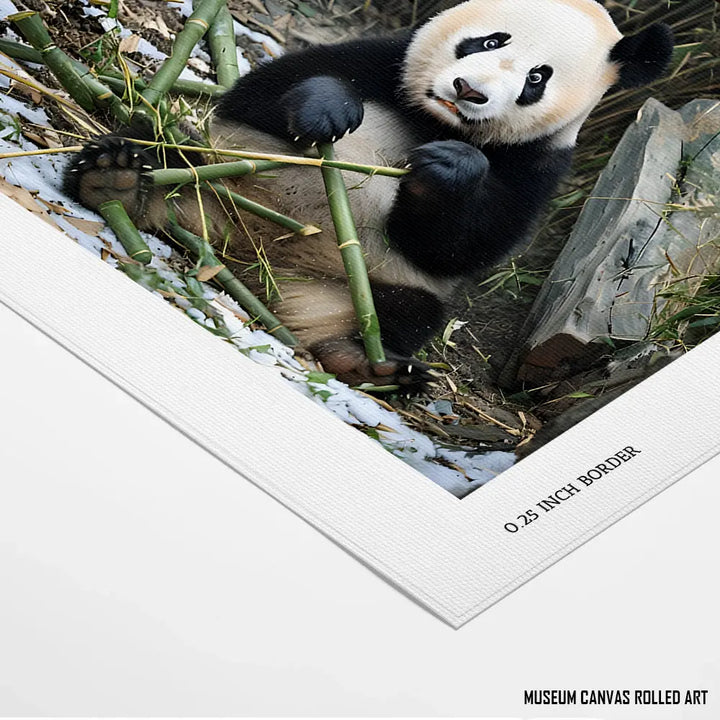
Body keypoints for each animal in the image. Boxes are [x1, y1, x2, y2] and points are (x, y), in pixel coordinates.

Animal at [64, 0, 673, 386]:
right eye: (489, 40)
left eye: (536, 79)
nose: (469, 91)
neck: (434, 119)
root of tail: (243, 255)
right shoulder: (382, 57)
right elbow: (260, 91)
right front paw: (328, 108)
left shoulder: (541, 163)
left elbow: (467, 246)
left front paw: (449, 168)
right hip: (219, 166)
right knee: (168, 151)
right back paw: (118, 180)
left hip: (375, 283)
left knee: (408, 313)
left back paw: (363, 361)